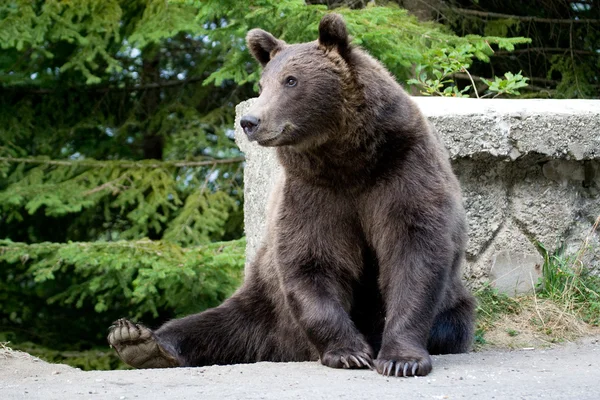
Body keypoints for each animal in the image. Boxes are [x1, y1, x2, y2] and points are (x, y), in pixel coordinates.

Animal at [106, 10, 474, 376]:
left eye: (291, 80)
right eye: (262, 84)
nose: (250, 121)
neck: (348, 160)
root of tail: (283, 348)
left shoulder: (401, 172)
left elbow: (413, 251)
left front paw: (402, 359)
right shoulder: (312, 193)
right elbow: (310, 259)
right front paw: (349, 352)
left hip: (454, 305)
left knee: (452, 323)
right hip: (264, 305)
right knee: (210, 325)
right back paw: (138, 340)